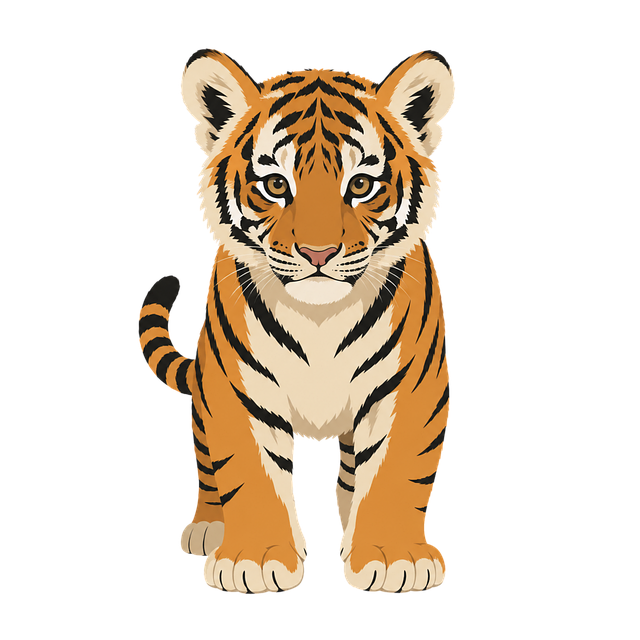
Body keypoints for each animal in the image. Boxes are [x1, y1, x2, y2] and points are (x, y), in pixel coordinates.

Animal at [137, 47, 455, 593]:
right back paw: (208, 528)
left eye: (361, 185)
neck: (320, 318)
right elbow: (249, 471)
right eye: (276, 185)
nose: (318, 252)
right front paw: (257, 561)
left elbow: (394, 469)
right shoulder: (235, 388)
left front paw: (392, 559)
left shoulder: (410, 386)